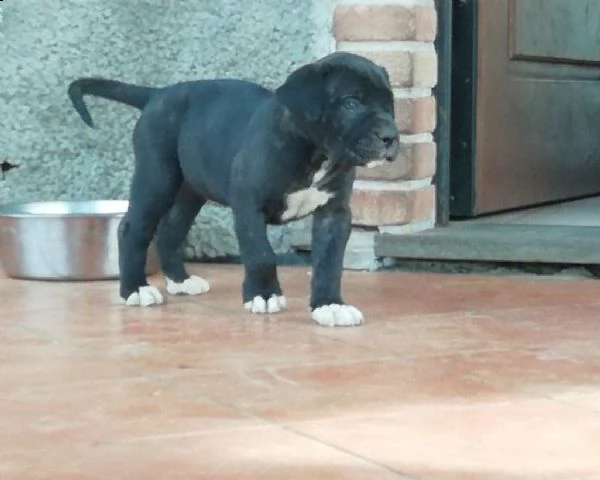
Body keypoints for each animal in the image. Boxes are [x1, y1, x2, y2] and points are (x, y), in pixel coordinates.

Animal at [68, 52, 398, 326]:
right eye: (352, 102)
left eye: (389, 105)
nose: (391, 136)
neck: (316, 152)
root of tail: (158, 93)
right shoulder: (249, 205)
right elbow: (260, 253)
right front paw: (263, 295)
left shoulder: (334, 213)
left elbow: (330, 262)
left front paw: (329, 305)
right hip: (156, 178)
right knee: (132, 228)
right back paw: (135, 289)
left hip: (190, 191)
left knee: (170, 231)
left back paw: (180, 280)